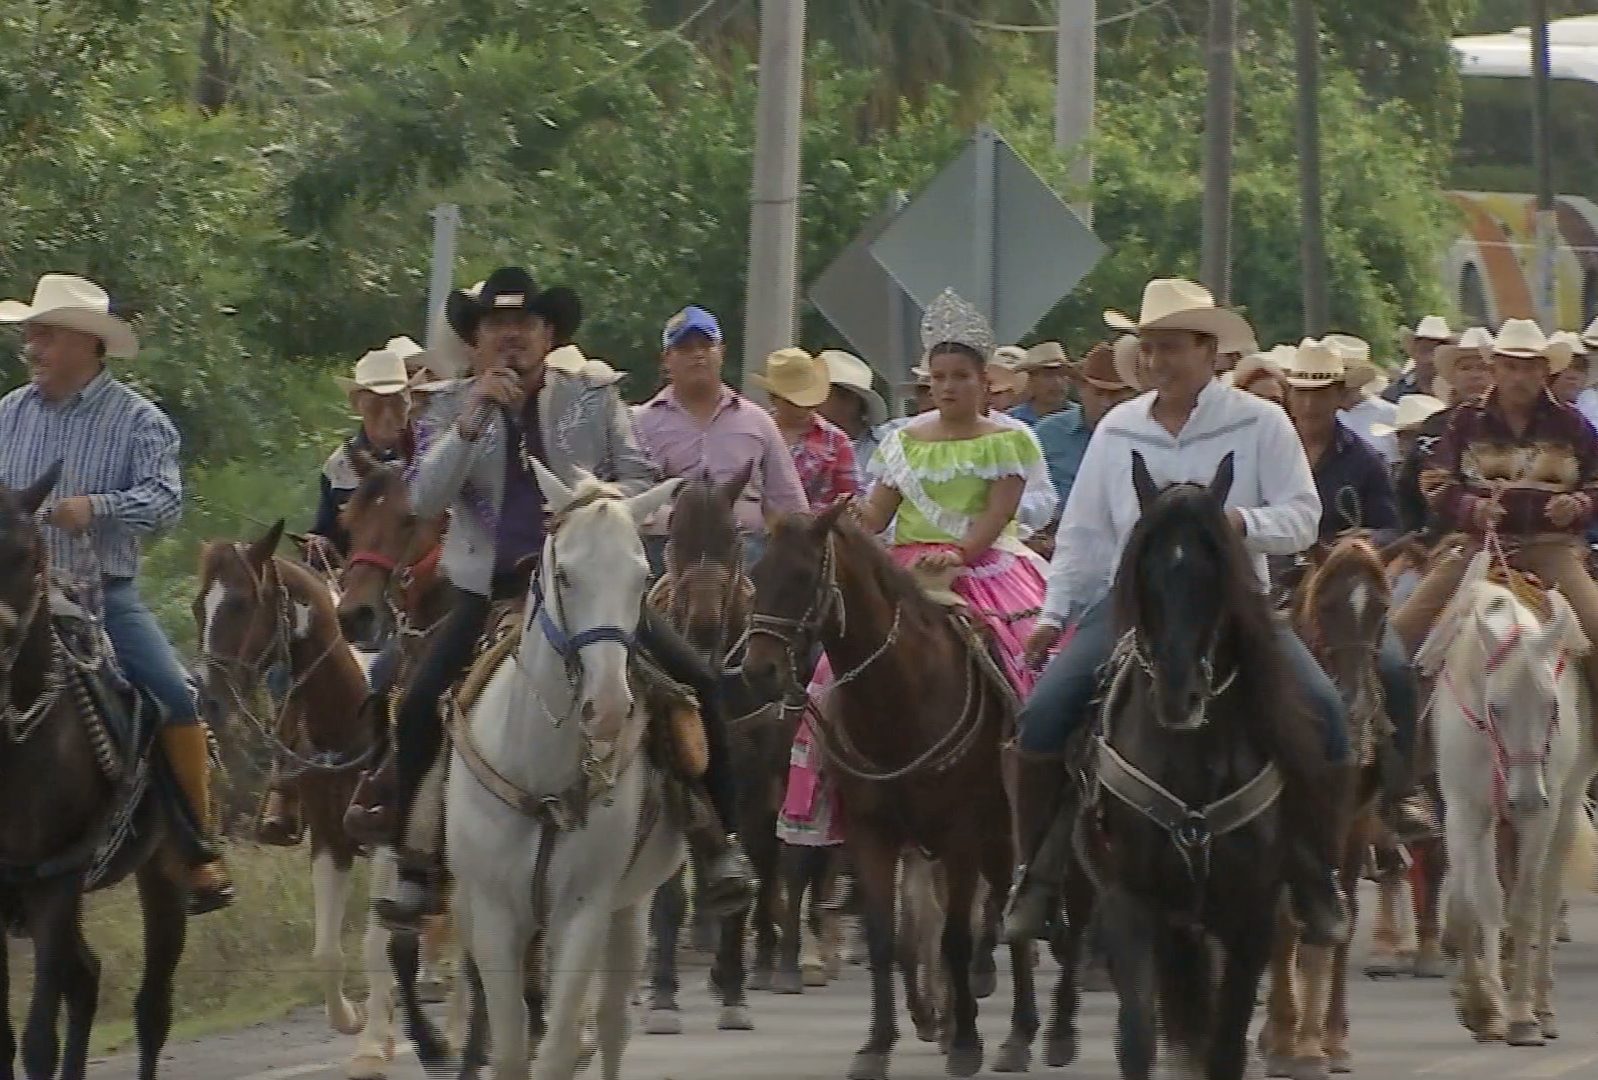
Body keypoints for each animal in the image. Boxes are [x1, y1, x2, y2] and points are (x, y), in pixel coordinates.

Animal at [0, 466, 188, 1080]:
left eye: (25, 552)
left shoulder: (55, 885)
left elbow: (37, 1039)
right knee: (85, 979)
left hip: (162, 875)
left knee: (152, 1007)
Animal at [444, 469, 687, 1080]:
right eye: (564, 575)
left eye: (641, 577)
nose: (608, 708)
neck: (541, 775)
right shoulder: (494, 913)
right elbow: (510, 1050)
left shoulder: (585, 909)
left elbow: (556, 1048)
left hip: (627, 908)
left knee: (610, 1022)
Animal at [738, 504, 1041, 1080]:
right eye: (757, 575)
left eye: (804, 576)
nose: (759, 671)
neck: (901, 697)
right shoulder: (871, 833)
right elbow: (885, 938)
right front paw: (877, 1045)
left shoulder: (961, 834)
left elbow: (956, 935)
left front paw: (966, 1043)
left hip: (1001, 831)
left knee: (1005, 911)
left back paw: (1017, 1033)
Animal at [1086, 453, 1335, 1080]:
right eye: (1145, 571)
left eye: (1213, 574)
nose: (1180, 697)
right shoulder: (1130, 905)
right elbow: (1137, 1038)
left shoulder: (1251, 916)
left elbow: (1225, 1046)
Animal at [1425, 575, 1598, 1048]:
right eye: (1496, 707)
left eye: (1551, 706)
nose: (1526, 798)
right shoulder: (1463, 809)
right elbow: (1471, 902)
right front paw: (1483, 1008)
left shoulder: (1539, 818)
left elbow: (1522, 905)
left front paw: (1519, 1016)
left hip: (1565, 807)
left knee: (1548, 895)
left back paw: (1542, 1007)